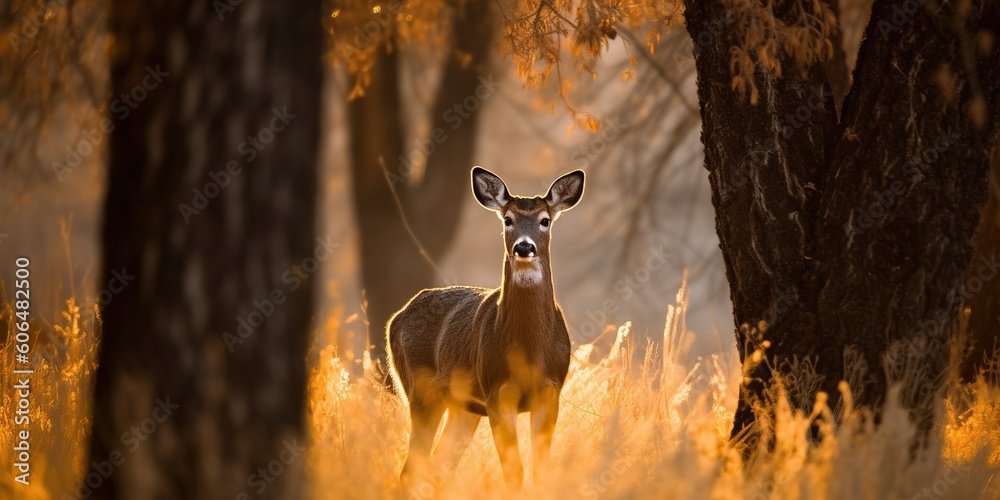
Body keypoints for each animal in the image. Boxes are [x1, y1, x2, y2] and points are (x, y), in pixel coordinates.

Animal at [386, 166, 585, 492]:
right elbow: (514, 472)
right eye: (508, 219)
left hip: (462, 407)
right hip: (420, 390)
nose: (524, 247)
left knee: (439, 467)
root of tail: (395, 318)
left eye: (545, 220)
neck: (529, 350)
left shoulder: (550, 390)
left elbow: (542, 471)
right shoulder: (497, 391)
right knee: (412, 469)